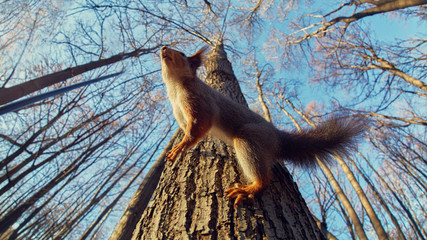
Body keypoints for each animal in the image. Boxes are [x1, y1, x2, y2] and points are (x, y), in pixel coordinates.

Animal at [160, 46, 364, 207]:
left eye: (182, 53)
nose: (163, 48)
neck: (175, 86)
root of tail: (277, 136)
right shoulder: (181, 115)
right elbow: (190, 130)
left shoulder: (199, 100)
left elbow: (199, 126)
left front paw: (180, 147)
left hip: (249, 137)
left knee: (263, 176)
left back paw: (250, 188)